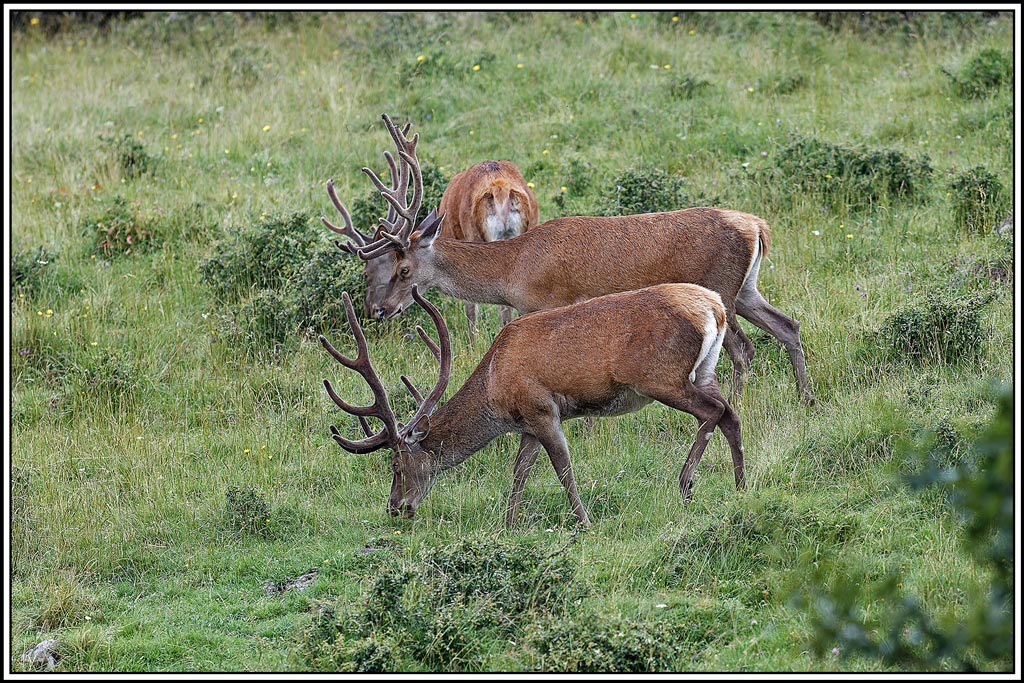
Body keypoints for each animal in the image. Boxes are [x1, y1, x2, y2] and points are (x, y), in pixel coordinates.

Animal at [319, 283, 745, 526]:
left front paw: (584, 522)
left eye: (395, 465)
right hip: (705, 370)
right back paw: (741, 487)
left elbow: (562, 468)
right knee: (731, 414)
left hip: (660, 376)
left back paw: (685, 484)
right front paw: (509, 524)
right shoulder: (525, 423)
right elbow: (519, 472)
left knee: (713, 413)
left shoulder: (541, 409)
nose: (395, 507)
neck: (494, 384)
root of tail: (715, 307)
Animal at [327, 114, 814, 405]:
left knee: (745, 349)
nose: (377, 310)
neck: (514, 269)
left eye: (403, 268)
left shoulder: (551, 302)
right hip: (746, 289)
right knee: (787, 326)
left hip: (719, 288)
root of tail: (757, 226)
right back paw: (805, 397)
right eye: (377, 268)